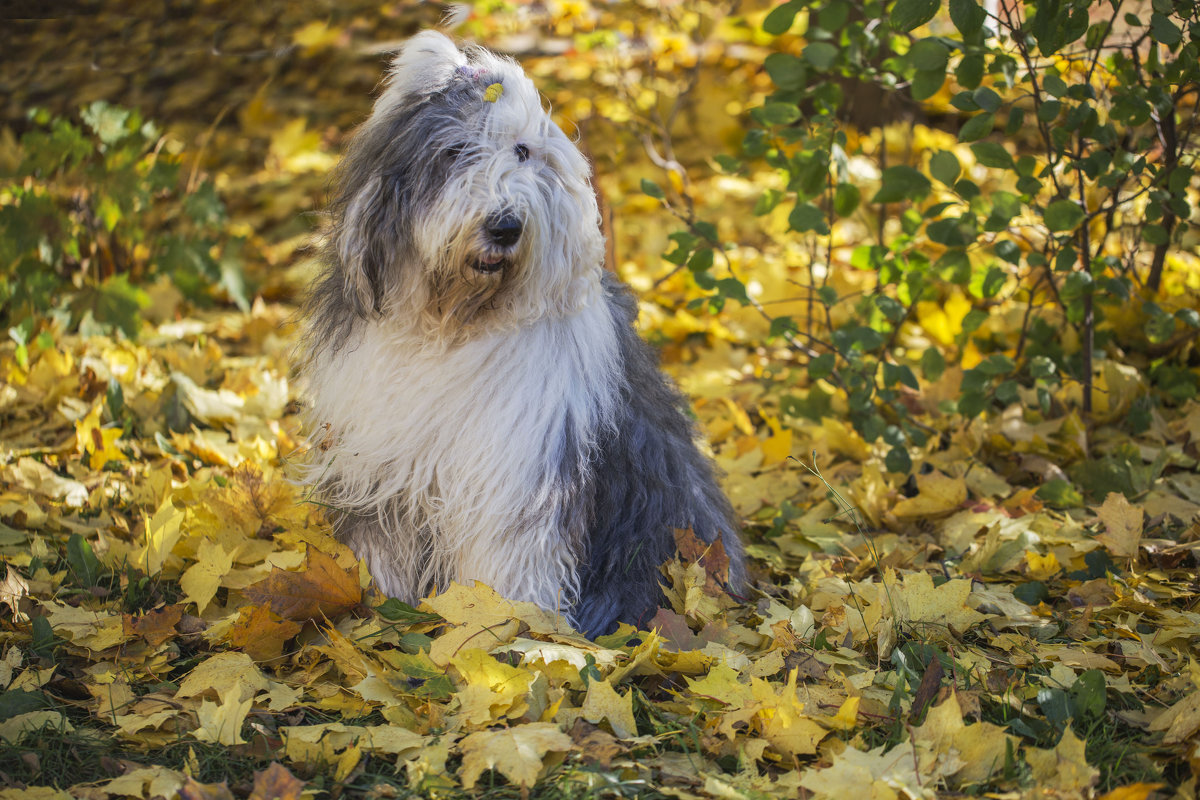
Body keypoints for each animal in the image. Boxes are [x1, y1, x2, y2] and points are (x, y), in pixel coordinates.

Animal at [297, 31, 739, 633]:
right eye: (455, 152)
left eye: (523, 152)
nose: (505, 226)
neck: (453, 324)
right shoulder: (381, 462)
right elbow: (383, 547)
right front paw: (382, 612)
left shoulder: (519, 465)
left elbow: (508, 558)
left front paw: (505, 626)